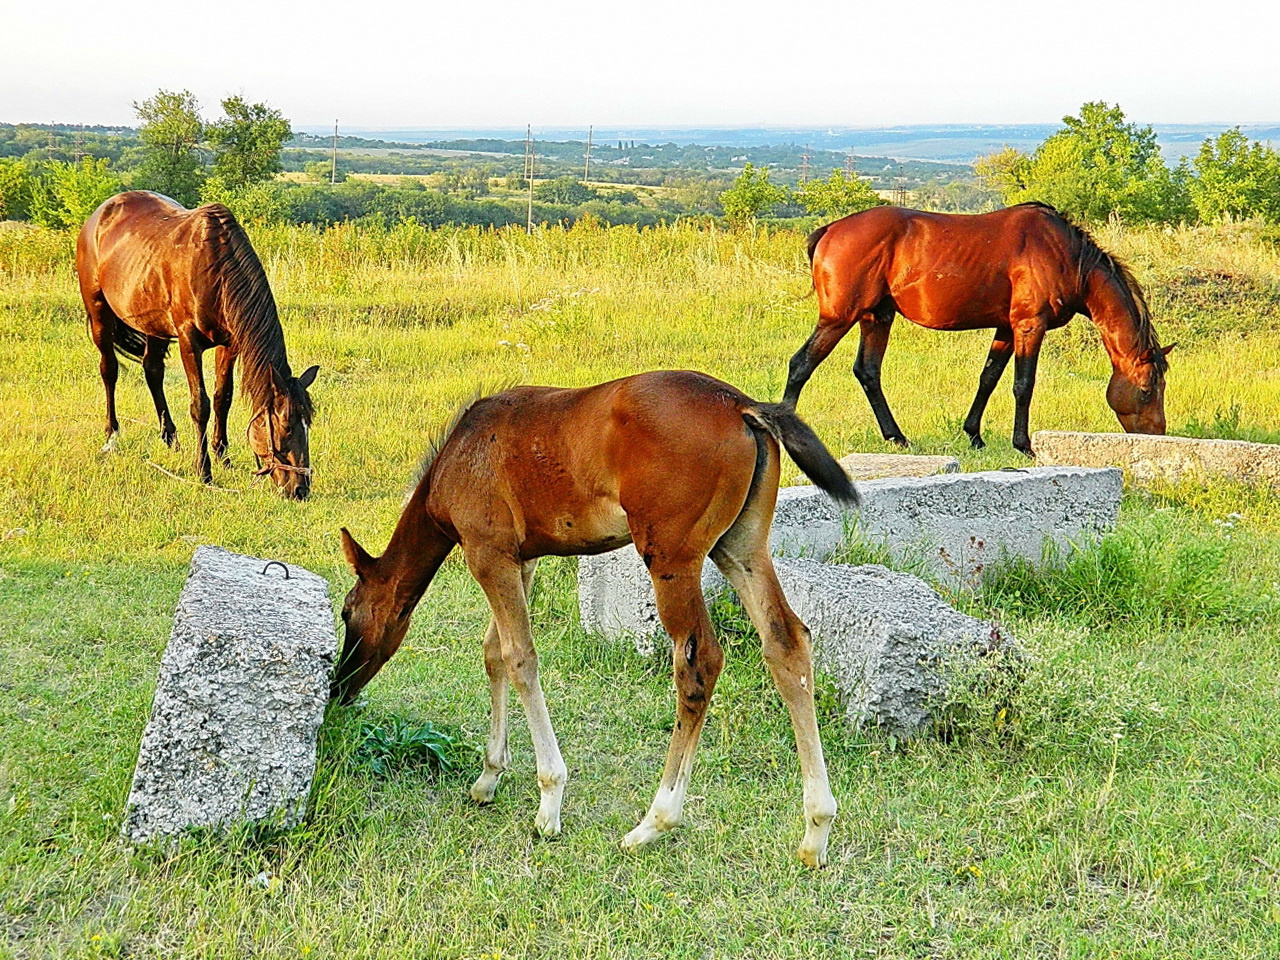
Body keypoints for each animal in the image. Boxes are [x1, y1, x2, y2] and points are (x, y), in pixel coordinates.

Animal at [76, 191, 319, 499]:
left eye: (308, 423)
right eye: (286, 426)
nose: (300, 489)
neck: (216, 268)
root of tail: (100, 214)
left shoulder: (230, 344)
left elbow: (222, 398)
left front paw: (223, 456)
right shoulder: (189, 343)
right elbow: (200, 405)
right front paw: (203, 471)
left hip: (154, 324)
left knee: (152, 370)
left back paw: (170, 437)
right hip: (99, 314)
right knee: (109, 370)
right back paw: (112, 435)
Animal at [333, 370, 860, 867]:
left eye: (345, 613)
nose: (339, 689)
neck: (458, 455)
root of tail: (741, 405)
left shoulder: (487, 553)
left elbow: (519, 658)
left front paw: (549, 802)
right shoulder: (521, 558)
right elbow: (494, 653)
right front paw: (488, 777)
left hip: (672, 558)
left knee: (698, 664)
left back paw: (654, 822)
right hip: (742, 548)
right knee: (787, 644)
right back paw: (816, 829)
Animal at [782, 202, 1173, 456]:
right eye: (1146, 390)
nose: (1157, 435)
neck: (1068, 257)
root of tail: (830, 230)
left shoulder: (1006, 328)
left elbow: (988, 379)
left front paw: (974, 436)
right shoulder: (1029, 326)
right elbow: (1023, 385)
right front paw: (1024, 445)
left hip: (876, 317)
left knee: (868, 372)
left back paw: (897, 437)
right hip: (839, 318)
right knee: (801, 364)